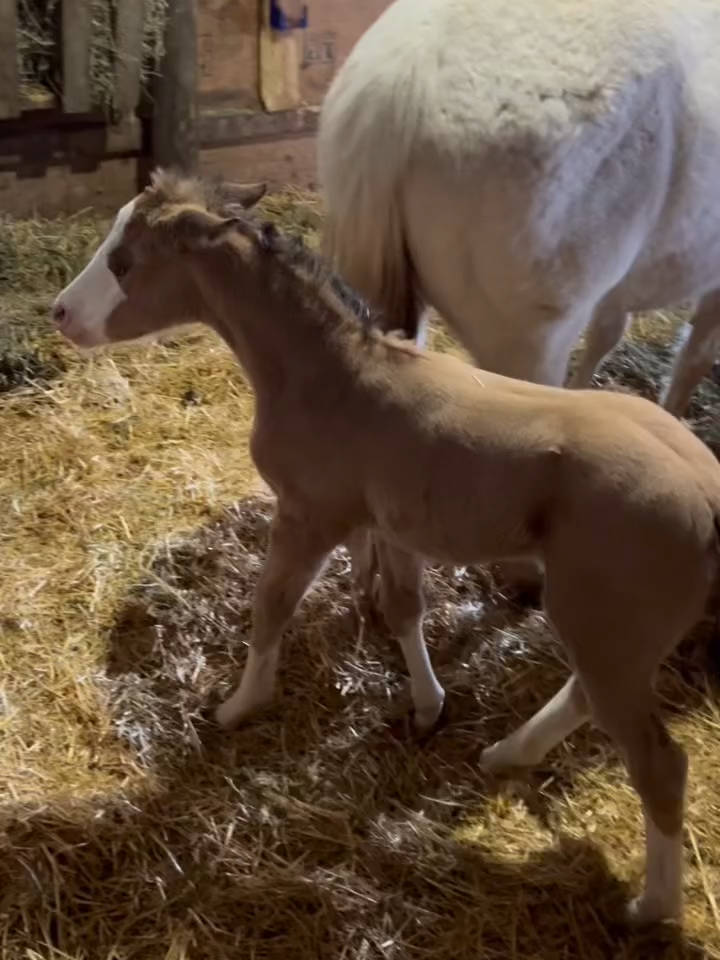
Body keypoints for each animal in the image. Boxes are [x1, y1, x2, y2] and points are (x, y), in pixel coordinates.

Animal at [53, 170, 720, 927]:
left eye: (124, 262)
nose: (60, 313)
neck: (334, 374)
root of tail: (707, 489)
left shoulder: (308, 516)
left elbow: (270, 606)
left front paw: (239, 705)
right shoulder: (389, 525)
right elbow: (403, 607)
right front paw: (428, 707)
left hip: (608, 621)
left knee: (658, 761)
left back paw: (653, 908)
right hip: (612, 630)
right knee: (588, 696)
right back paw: (505, 754)